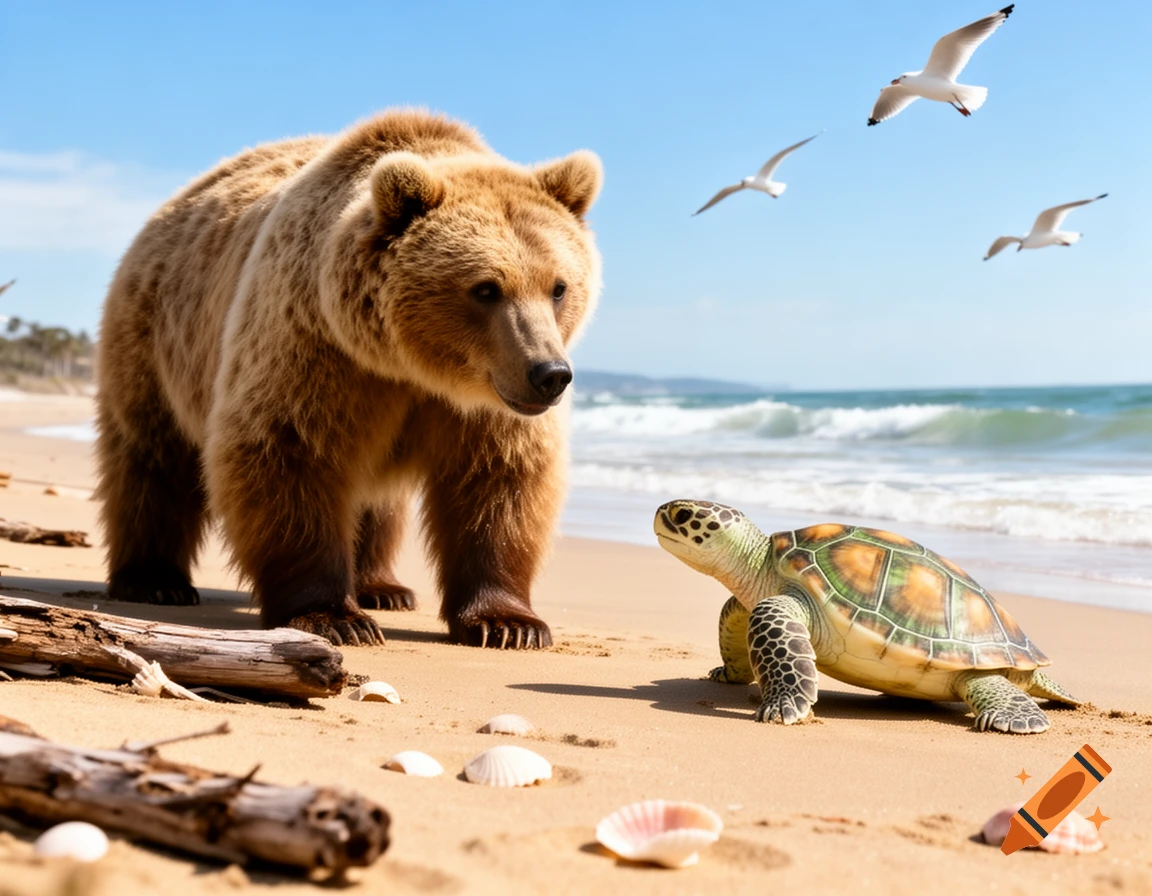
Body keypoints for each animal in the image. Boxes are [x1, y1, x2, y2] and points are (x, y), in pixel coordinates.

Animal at [94, 109, 603, 649]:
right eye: (486, 288)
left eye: (558, 287)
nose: (550, 374)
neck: (412, 365)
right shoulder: (319, 348)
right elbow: (291, 452)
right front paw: (334, 616)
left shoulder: (483, 401)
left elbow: (499, 479)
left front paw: (508, 622)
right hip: (155, 342)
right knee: (153, 457)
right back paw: (153, 580)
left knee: (379, 501)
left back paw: (381, 586)